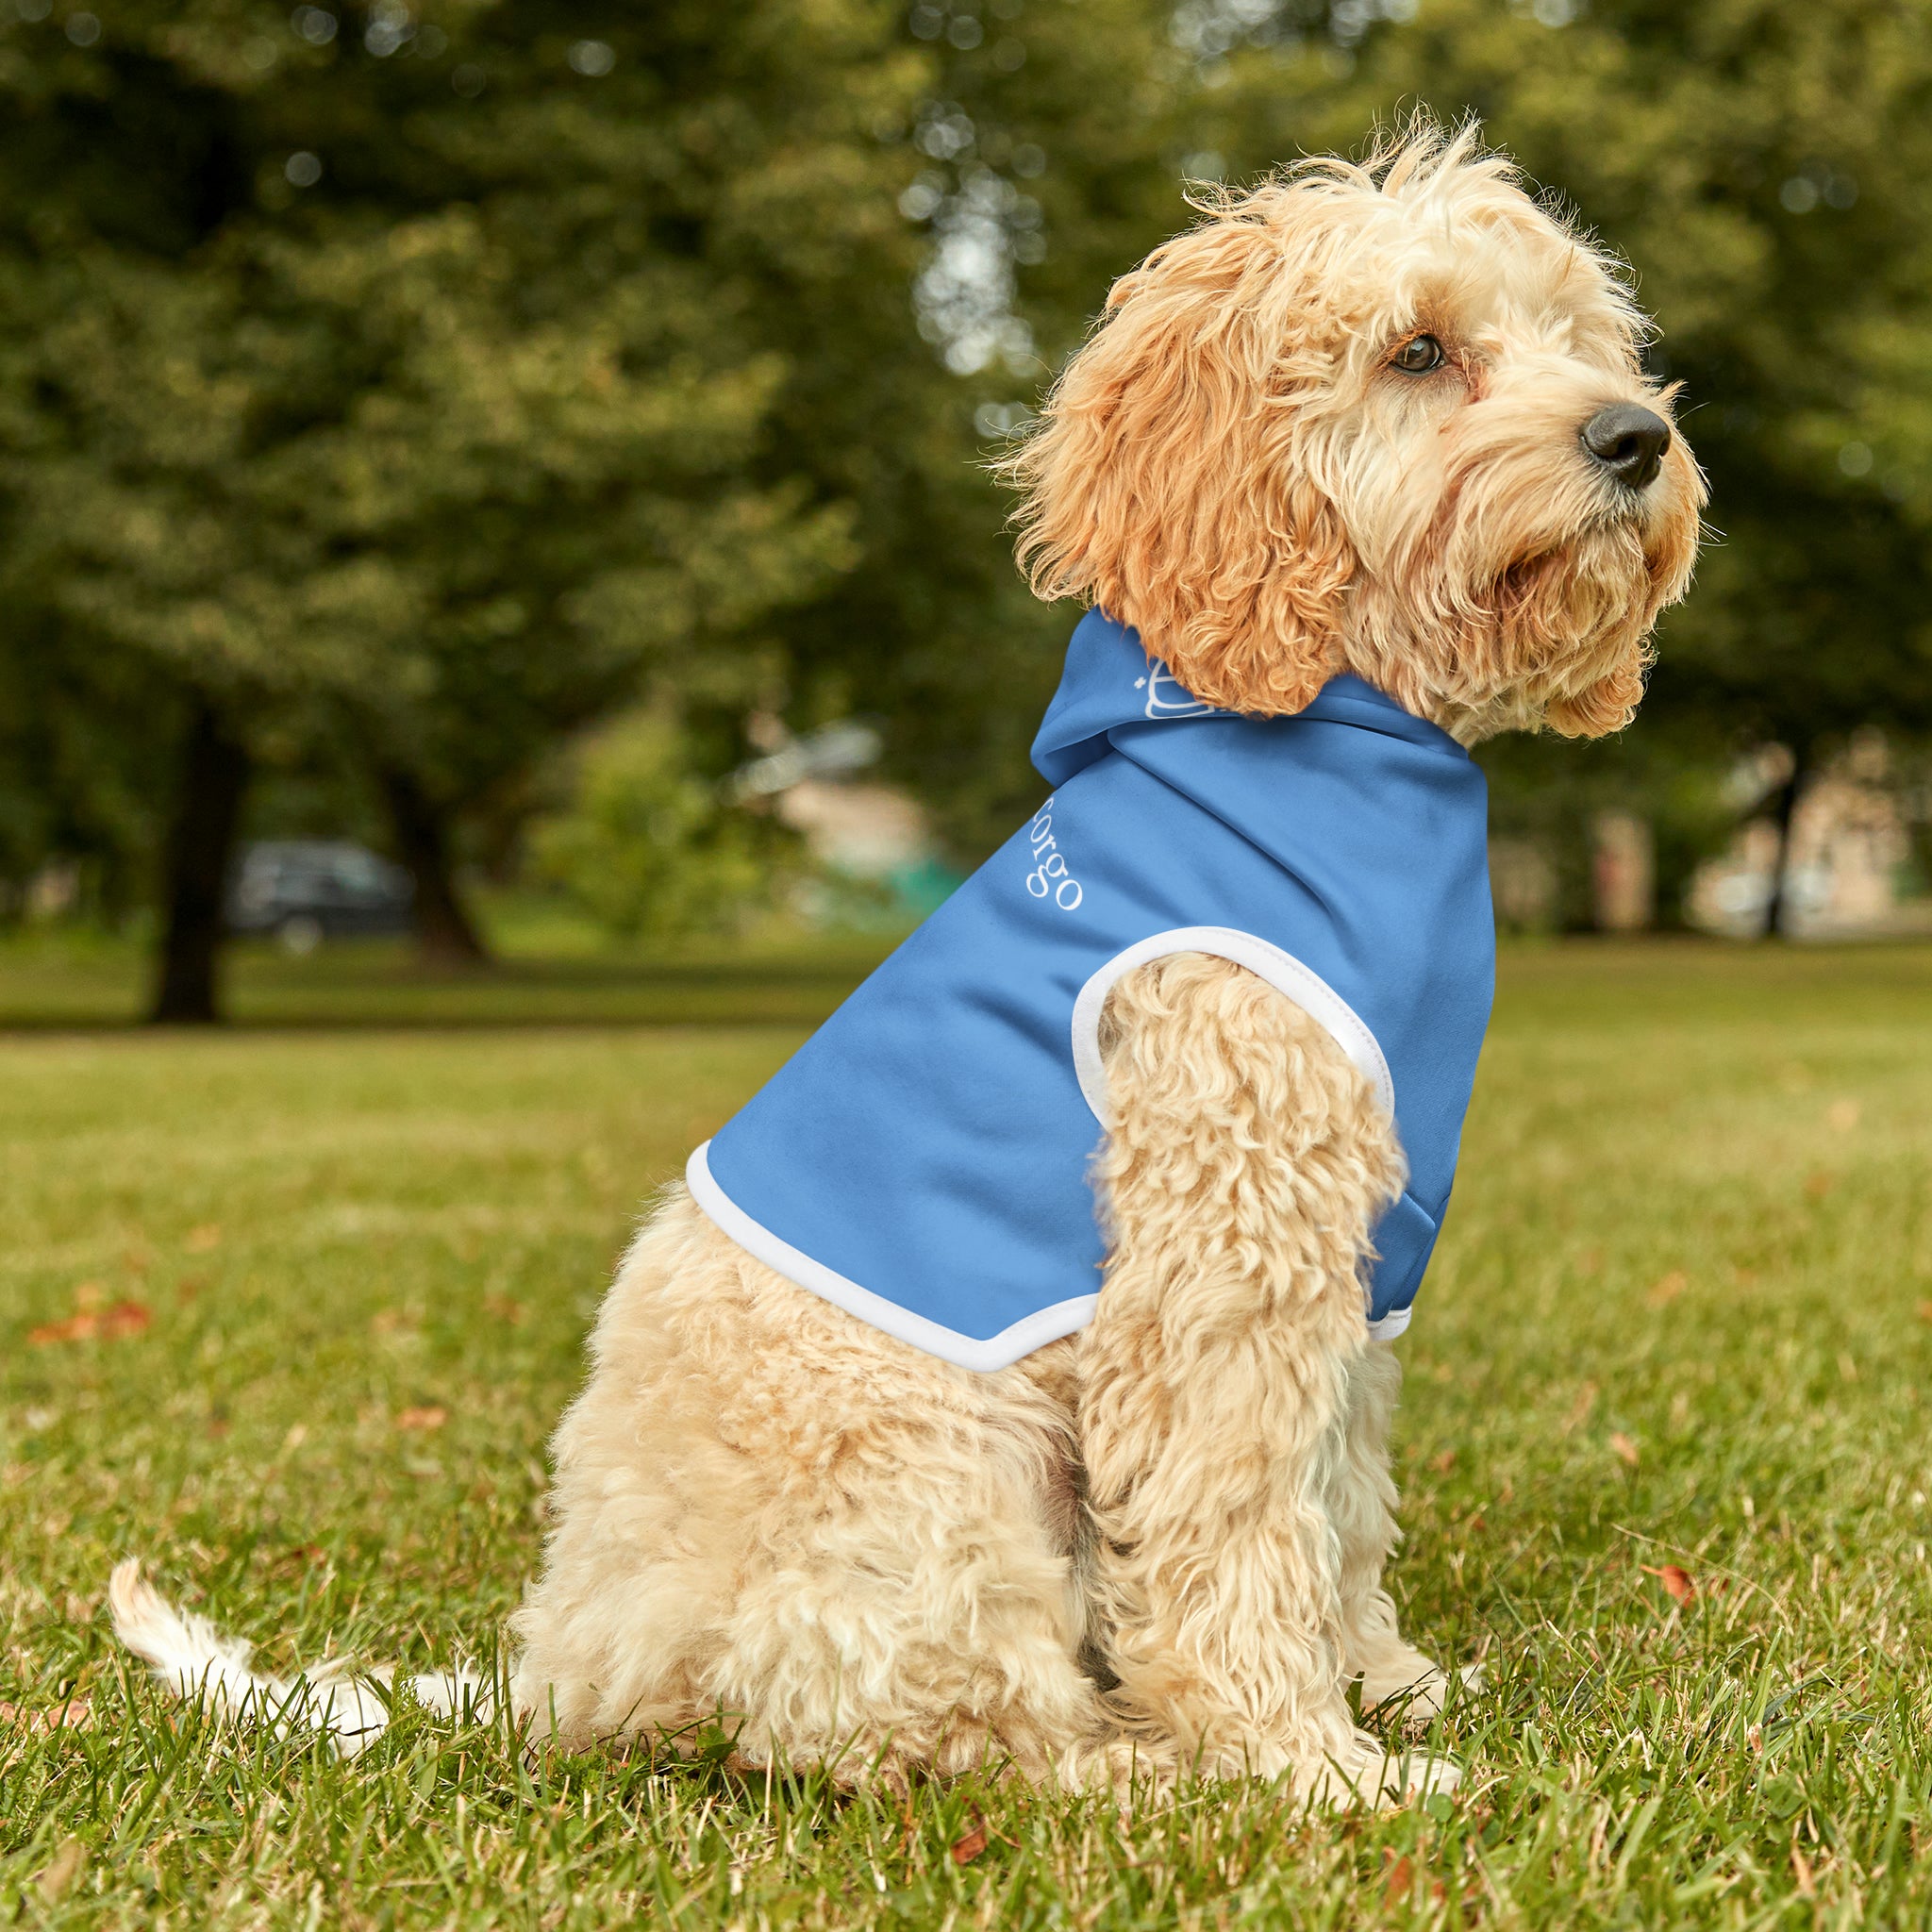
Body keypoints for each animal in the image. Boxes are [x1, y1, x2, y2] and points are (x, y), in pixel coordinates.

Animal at [109, 125, 1707, 1807]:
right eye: (1419, 351)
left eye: (1581, 338)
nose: (1636, 438)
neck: (1322, 728)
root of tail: (566, 1672)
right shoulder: (1222, 1253)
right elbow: (1237, 1523)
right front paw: (1307, 1765)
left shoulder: (1354, 1266)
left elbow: (1337, 1503)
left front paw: (1386, 1688)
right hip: (941, 1474)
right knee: (939, 1730)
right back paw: (1141, 1771)